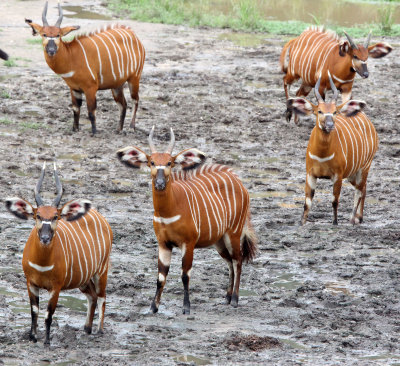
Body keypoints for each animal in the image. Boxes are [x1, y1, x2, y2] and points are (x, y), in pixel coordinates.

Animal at [5, 164, 112, 344]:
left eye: (56, 216)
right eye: (37, 215)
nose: (45, 237)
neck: (42, 264)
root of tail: (100, 217)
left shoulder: (56, 287)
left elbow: (49, 314)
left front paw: (47, 341)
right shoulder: (31, 283)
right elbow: (34, 311)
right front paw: (33, 337)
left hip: (101, 271)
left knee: (102, 296)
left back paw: (99, 330)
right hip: (83, 279)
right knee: (92, 297)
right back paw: (87, 328)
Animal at [25, 0, 145, 135]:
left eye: (58, 35)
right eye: (44, 34)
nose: (51, 50)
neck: (71, 57)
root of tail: (133, 35)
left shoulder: (90, 88)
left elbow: (91, 111)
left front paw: (94, 132)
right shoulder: (74, 89)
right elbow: (76, 109)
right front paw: (75, 129)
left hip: (134, 78)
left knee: (135, 100)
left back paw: (131, 127)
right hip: (117, 85)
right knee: (123, 104)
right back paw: (118, 129)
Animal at [117, 128, 258, 314]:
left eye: (169, 163)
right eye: (151, 162)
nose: (160, 183)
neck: (170, 210)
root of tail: (238, 181)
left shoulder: (188, 243)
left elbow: (185, 275)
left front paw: (186, 307)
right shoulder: (163, 243)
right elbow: (161, 277)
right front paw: (153, 308)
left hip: (233, 233)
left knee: (238, 261)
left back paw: (234, 299)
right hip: (219, 241)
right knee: (229, 263)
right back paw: (227, 298)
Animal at [288, 73, 378, 224]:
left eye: (335, 112)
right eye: (319, 111)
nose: (330, 125)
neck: (322, 155)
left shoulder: (338, 176)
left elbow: (335, 201)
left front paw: (335, 223)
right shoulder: (310, 174)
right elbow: (307, 203)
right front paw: (302, 223)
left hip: (364, 167)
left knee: (360, 190)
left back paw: (353, 219)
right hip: (353, 173)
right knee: (363, 188)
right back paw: (359, 218)